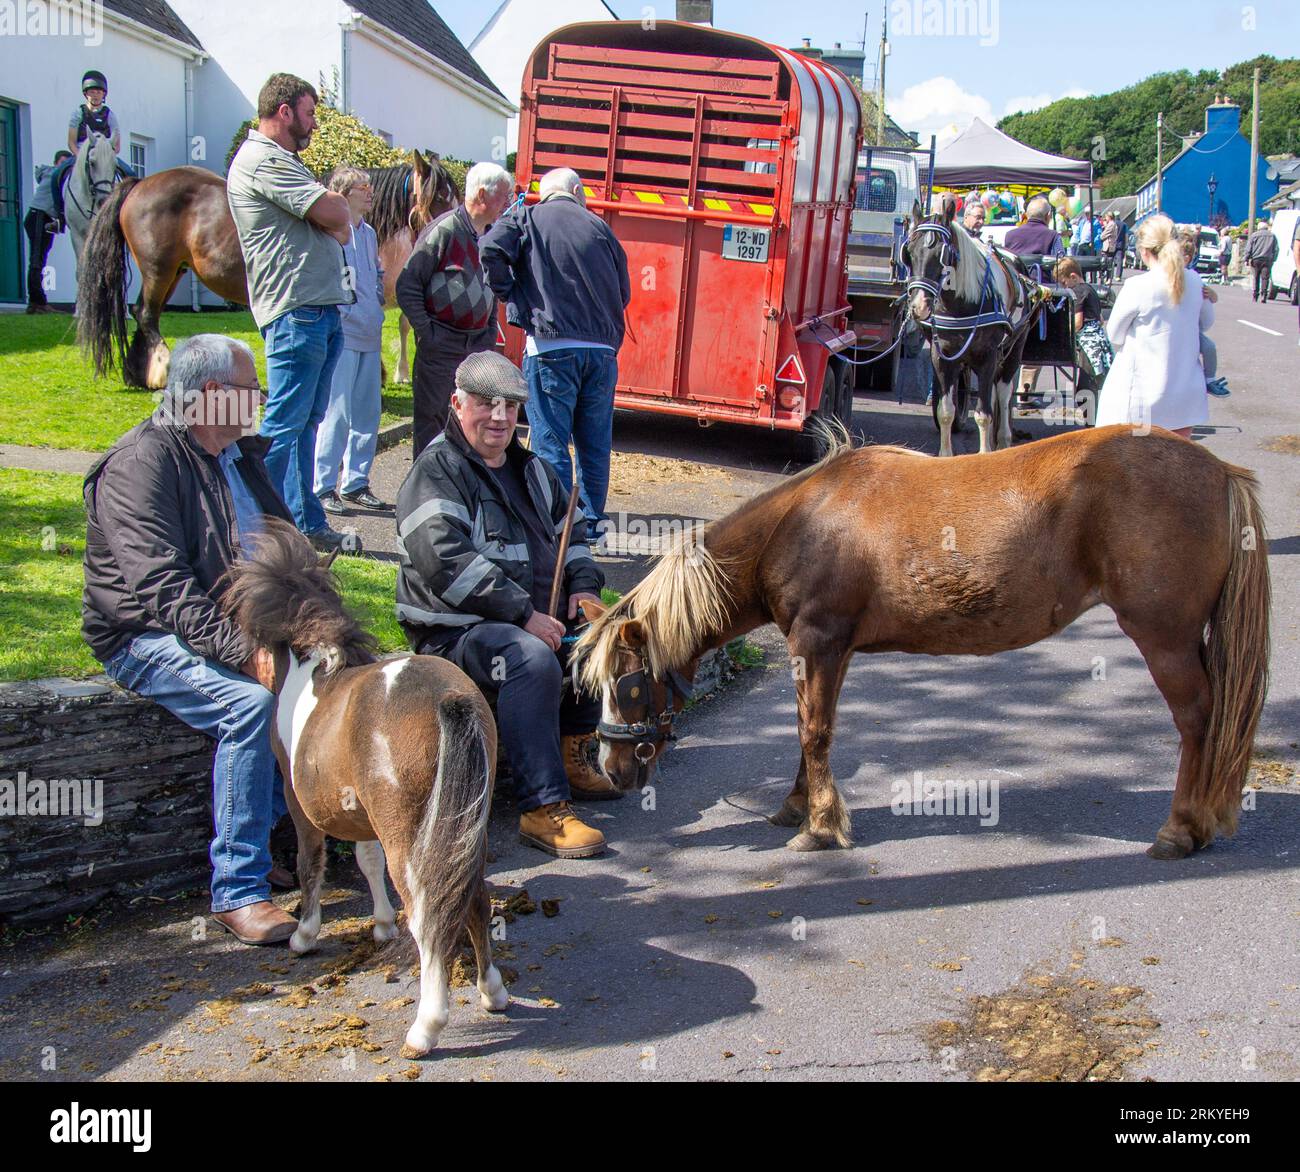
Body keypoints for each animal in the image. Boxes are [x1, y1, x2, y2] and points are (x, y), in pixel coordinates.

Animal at [77, 150, 455, 389]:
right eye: (438, 197)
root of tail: (138, 183)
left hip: (175, 270)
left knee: (143, 310)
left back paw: (139, 373)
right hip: (159, 266)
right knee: (145, 313)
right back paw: (161, 368)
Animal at [220, 519, 508, 1055]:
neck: (313, 673)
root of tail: (450, 697)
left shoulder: (299, 804)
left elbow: (310, 864)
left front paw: (304, 935)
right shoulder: (364, 812)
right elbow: (366, 859)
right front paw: (380, 923)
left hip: (411, 840)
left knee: (429, 916)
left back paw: (426, 1026)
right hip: (461, 831)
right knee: (474, 900)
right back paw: (491, 991)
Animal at [576, 425, 1270, 861]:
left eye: (628, 685)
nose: (611, 768)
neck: (801, 522)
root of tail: (1221, 474)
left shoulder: (817, 641)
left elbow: (813, 733)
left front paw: (820, 828)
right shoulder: (830, 651)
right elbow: (811, 731)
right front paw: (799, 806)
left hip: (1165, 639)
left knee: (1198, 720)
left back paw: (1181, 829)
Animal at [903, 197, 1046, 457]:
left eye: (942, 254)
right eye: (908, 252)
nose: (918, 306)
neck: (961, 304)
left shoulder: (987, 356)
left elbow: (983, 414)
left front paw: (984, 453)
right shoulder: (942, 356)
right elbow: (946, 411)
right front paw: (946, 456)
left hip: (1014, 349)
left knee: (1003, 393)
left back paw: (1003, 439)